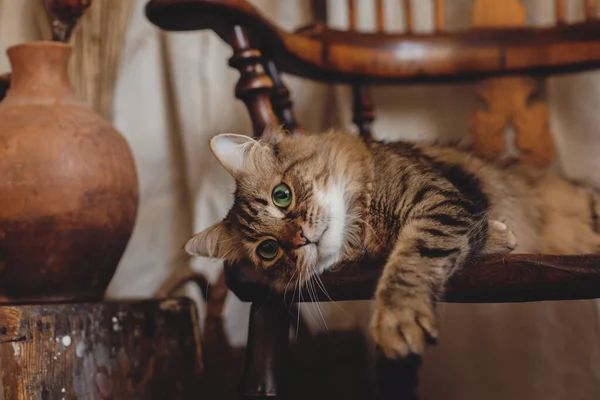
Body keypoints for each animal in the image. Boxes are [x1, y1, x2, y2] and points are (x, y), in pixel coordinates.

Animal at [184, 129, 600, 360]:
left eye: (281, 195)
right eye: (268, 250)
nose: (300, 237)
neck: (365, 223)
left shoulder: (438, 200)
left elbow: (412, 258)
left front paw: (397, 320)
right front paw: (499, 235)